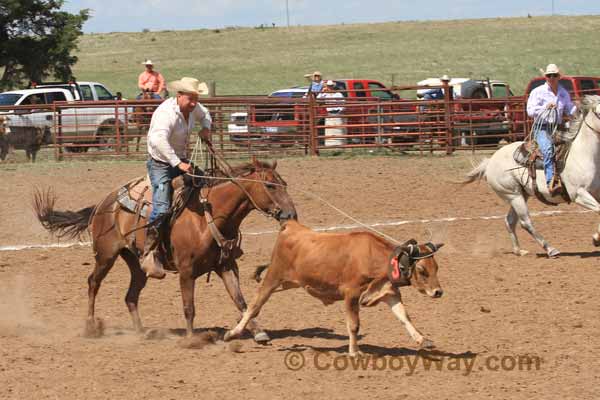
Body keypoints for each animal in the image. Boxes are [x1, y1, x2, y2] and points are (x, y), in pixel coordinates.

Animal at [34, 159, 296, 340]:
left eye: (284, 184)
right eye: (270, 186)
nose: (290, 214)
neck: (208, 217)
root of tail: (103, 203)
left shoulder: (227, 266)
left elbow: (242, 301)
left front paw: (256, 332)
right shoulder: (186, 271)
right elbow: (189, 307)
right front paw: (191, 339)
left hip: (137, 263)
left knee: (130, 296)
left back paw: (142, 332)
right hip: (105, 255)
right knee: (93, 283)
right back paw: (90, 326)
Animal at [223, 220, 442, 354]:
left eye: (437, 267)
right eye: (422, 269)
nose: (438, 292)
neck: (373, 257)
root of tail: (291, 226)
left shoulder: (388, 292)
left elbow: (404, 317)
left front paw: (422, 339)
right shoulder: (351, 294)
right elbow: (354, 325)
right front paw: (355, 351)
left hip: (289, 283)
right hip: (274, 277)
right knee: (254, 305)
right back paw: (233, 333)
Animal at [466, 94, 600, 256]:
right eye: (598, 113)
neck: (583, 154)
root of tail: (490, 161)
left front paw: (596, 238)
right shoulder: (578, 194)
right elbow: (599, 209)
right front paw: (596, 239)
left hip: (521, 194)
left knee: (509, 221)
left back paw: (519, 251)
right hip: (513, 195)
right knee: (525, 223)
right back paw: (550, 249)